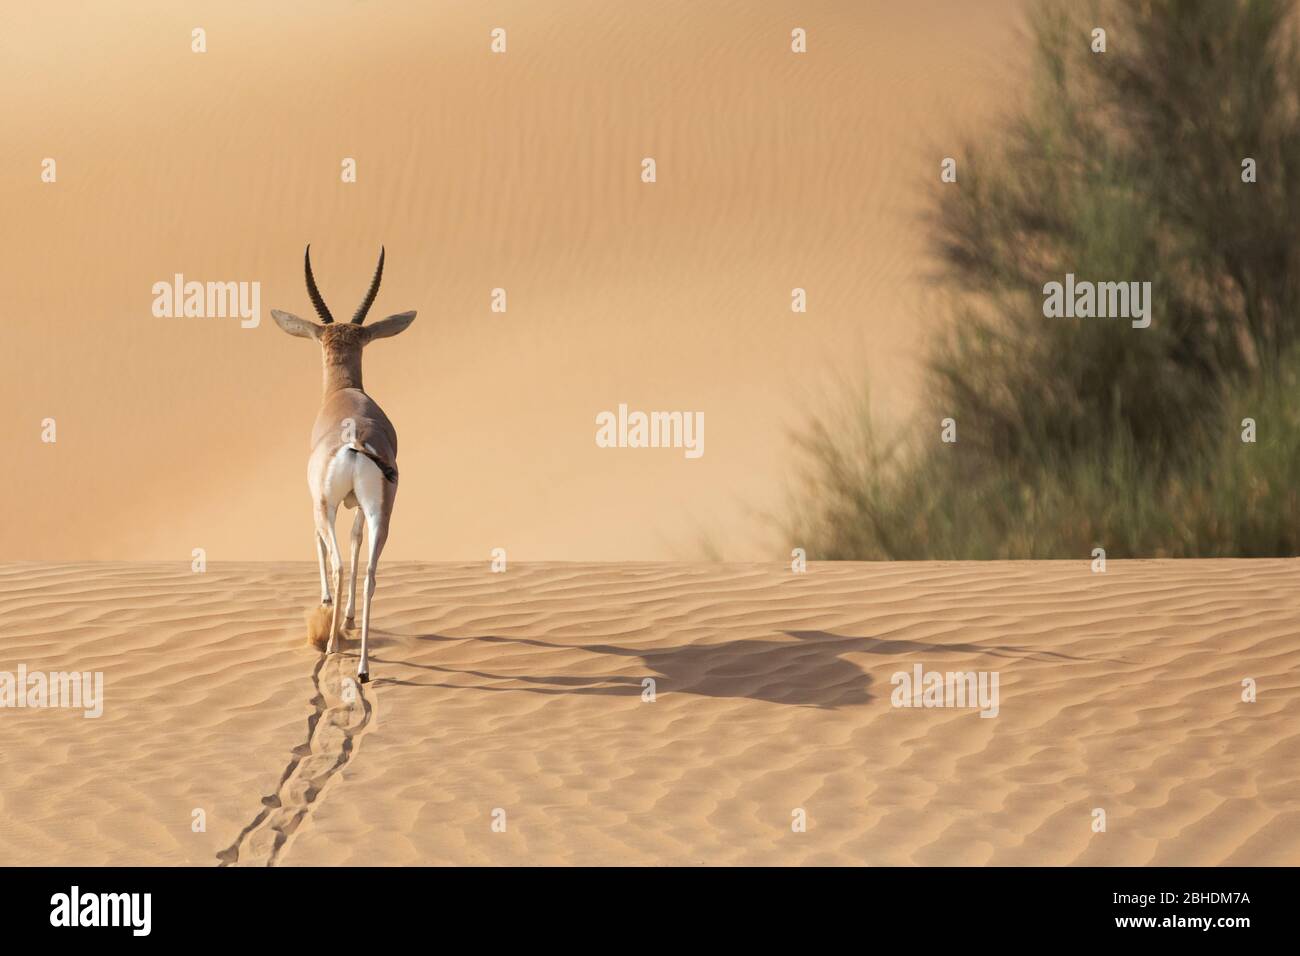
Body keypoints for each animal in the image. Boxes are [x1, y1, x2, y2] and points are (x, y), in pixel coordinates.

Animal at [271, 245, 416, 682]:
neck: (345, 393)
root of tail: (354, 438)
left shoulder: (318, 504)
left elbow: (320, 546)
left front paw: (328, 607)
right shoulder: (358, 509)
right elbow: (355, 544)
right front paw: (348, 617)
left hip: (328, 505)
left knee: (334, 559)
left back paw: (334, 645)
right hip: (381, 512)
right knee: (369, 571)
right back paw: (363, 666)